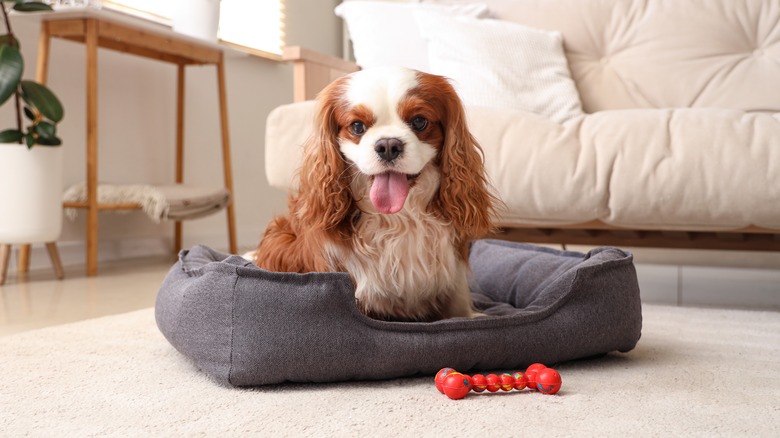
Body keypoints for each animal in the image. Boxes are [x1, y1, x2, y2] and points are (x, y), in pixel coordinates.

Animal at [256, 67, 500, 322]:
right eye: (357, 127)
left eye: (419, 121)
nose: (389, 145)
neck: (399, 217)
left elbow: (457, 300)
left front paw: (470, 316)